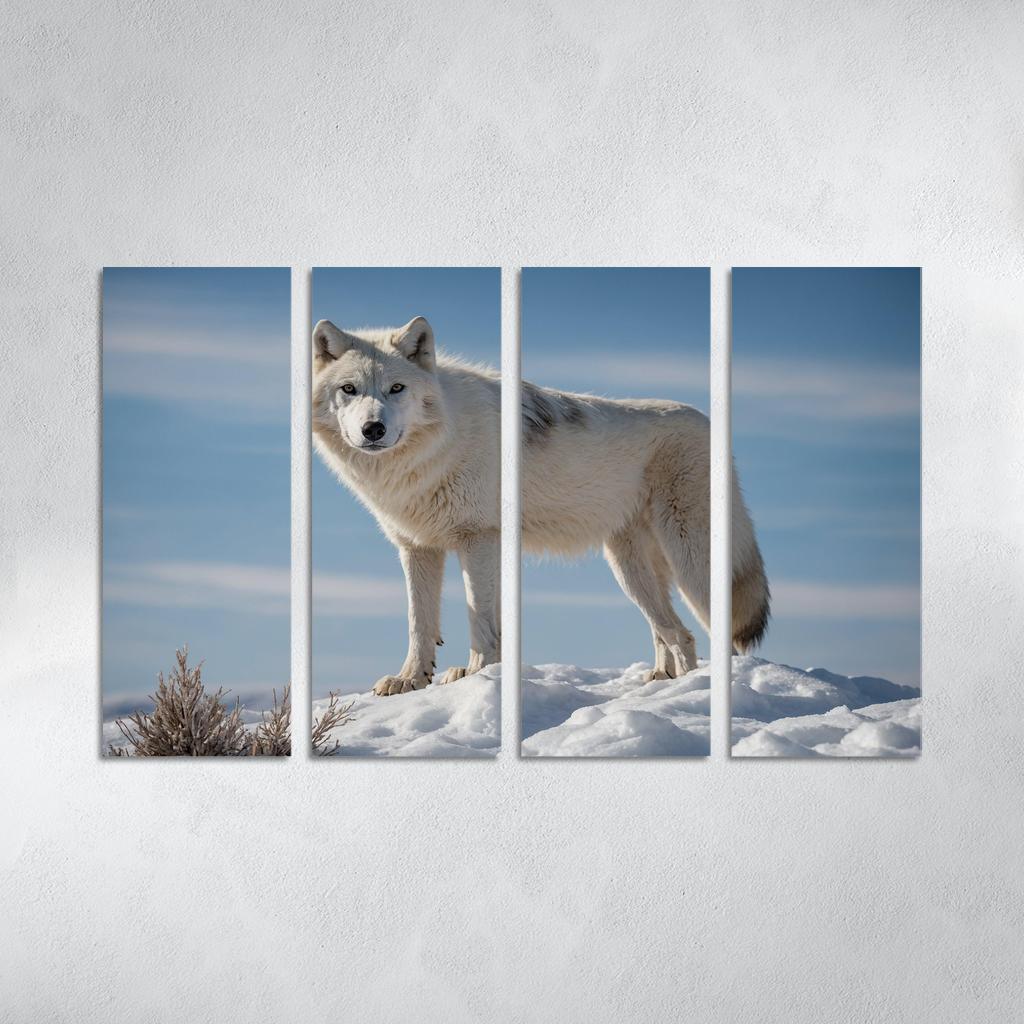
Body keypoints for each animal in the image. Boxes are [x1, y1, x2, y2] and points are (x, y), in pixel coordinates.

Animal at [312, 315, 768, 696]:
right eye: (349, 389)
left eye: (396, 389)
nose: (373, 429)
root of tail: (710, 423)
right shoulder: (417, 547)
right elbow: (419, 623)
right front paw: (411, 679)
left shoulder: (478, 539)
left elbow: (479, 617)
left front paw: (476, 673)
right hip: (629, 569)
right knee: (674, 632)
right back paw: (665, 682)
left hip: (689, 559)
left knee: (708, 633)